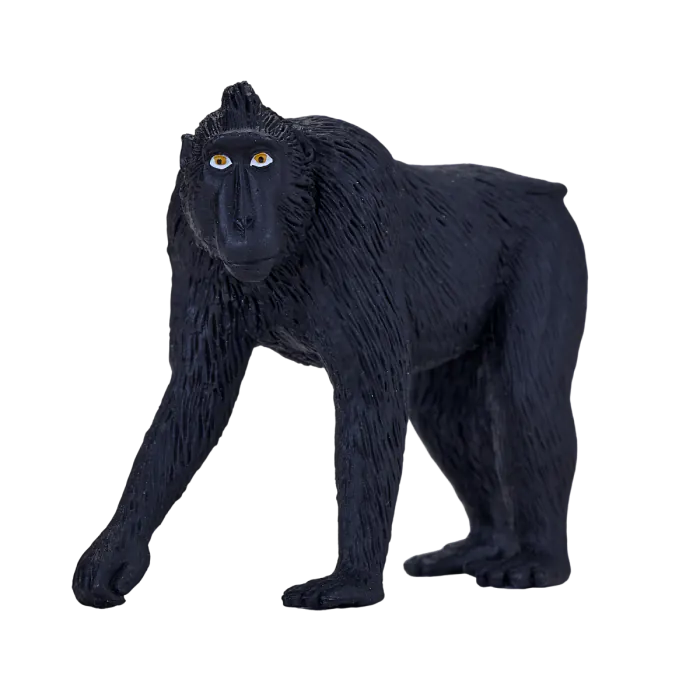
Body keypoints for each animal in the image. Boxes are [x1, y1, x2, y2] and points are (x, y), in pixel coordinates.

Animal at [72, 81, 587, 610]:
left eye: (261, 159)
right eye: (219, 162)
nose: (241, 221)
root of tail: (544, 188)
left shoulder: (352, 203)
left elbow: (370, 393)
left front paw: (352, 579)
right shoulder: (192, 236)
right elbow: (196, 393)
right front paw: (116, 553)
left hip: (550, 244)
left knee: (528, 396)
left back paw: (538, 560)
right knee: (443, 414)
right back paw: (486, 543)